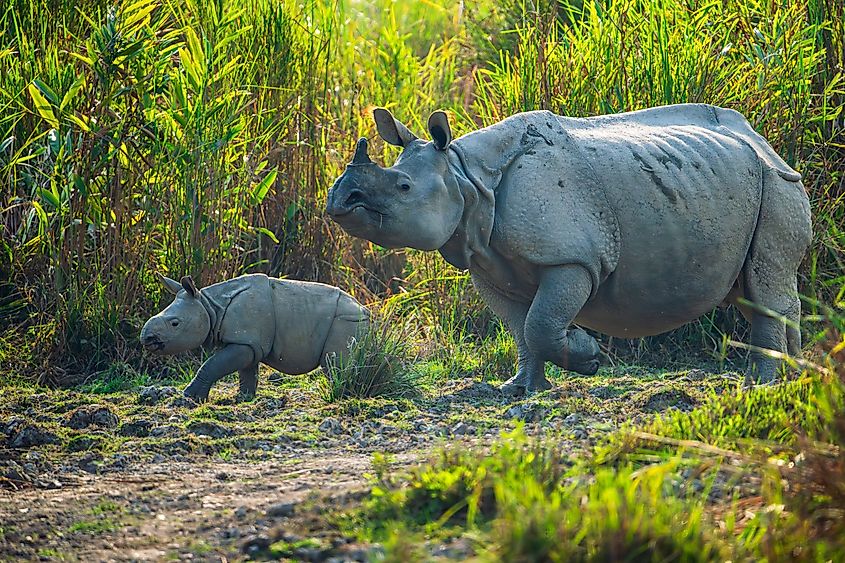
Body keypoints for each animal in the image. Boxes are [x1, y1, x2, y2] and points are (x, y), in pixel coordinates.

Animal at [140, 273, 369, 401]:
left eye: (175, 323)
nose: (146, 338)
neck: (210, 306)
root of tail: (365, 310)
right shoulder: (248, 343)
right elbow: (247, 371)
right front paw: (243, 398)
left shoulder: (244, 341)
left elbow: (211, 365)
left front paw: (190, 397)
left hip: (346, 319)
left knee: (334, 362)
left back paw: (341, 394)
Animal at [326, 104, 811, 394]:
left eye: (403, 187)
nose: (339, 200)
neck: (466, 177)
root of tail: (764, 141)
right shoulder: (487, 266)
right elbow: (520, 329)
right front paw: (520, 390)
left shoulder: (573, 259)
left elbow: (541, 323)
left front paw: (589, 355)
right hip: (737, 181)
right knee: (756, 290)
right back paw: (789, 375)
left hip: (778, 183)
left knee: (766, 288)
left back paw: (761, 384)